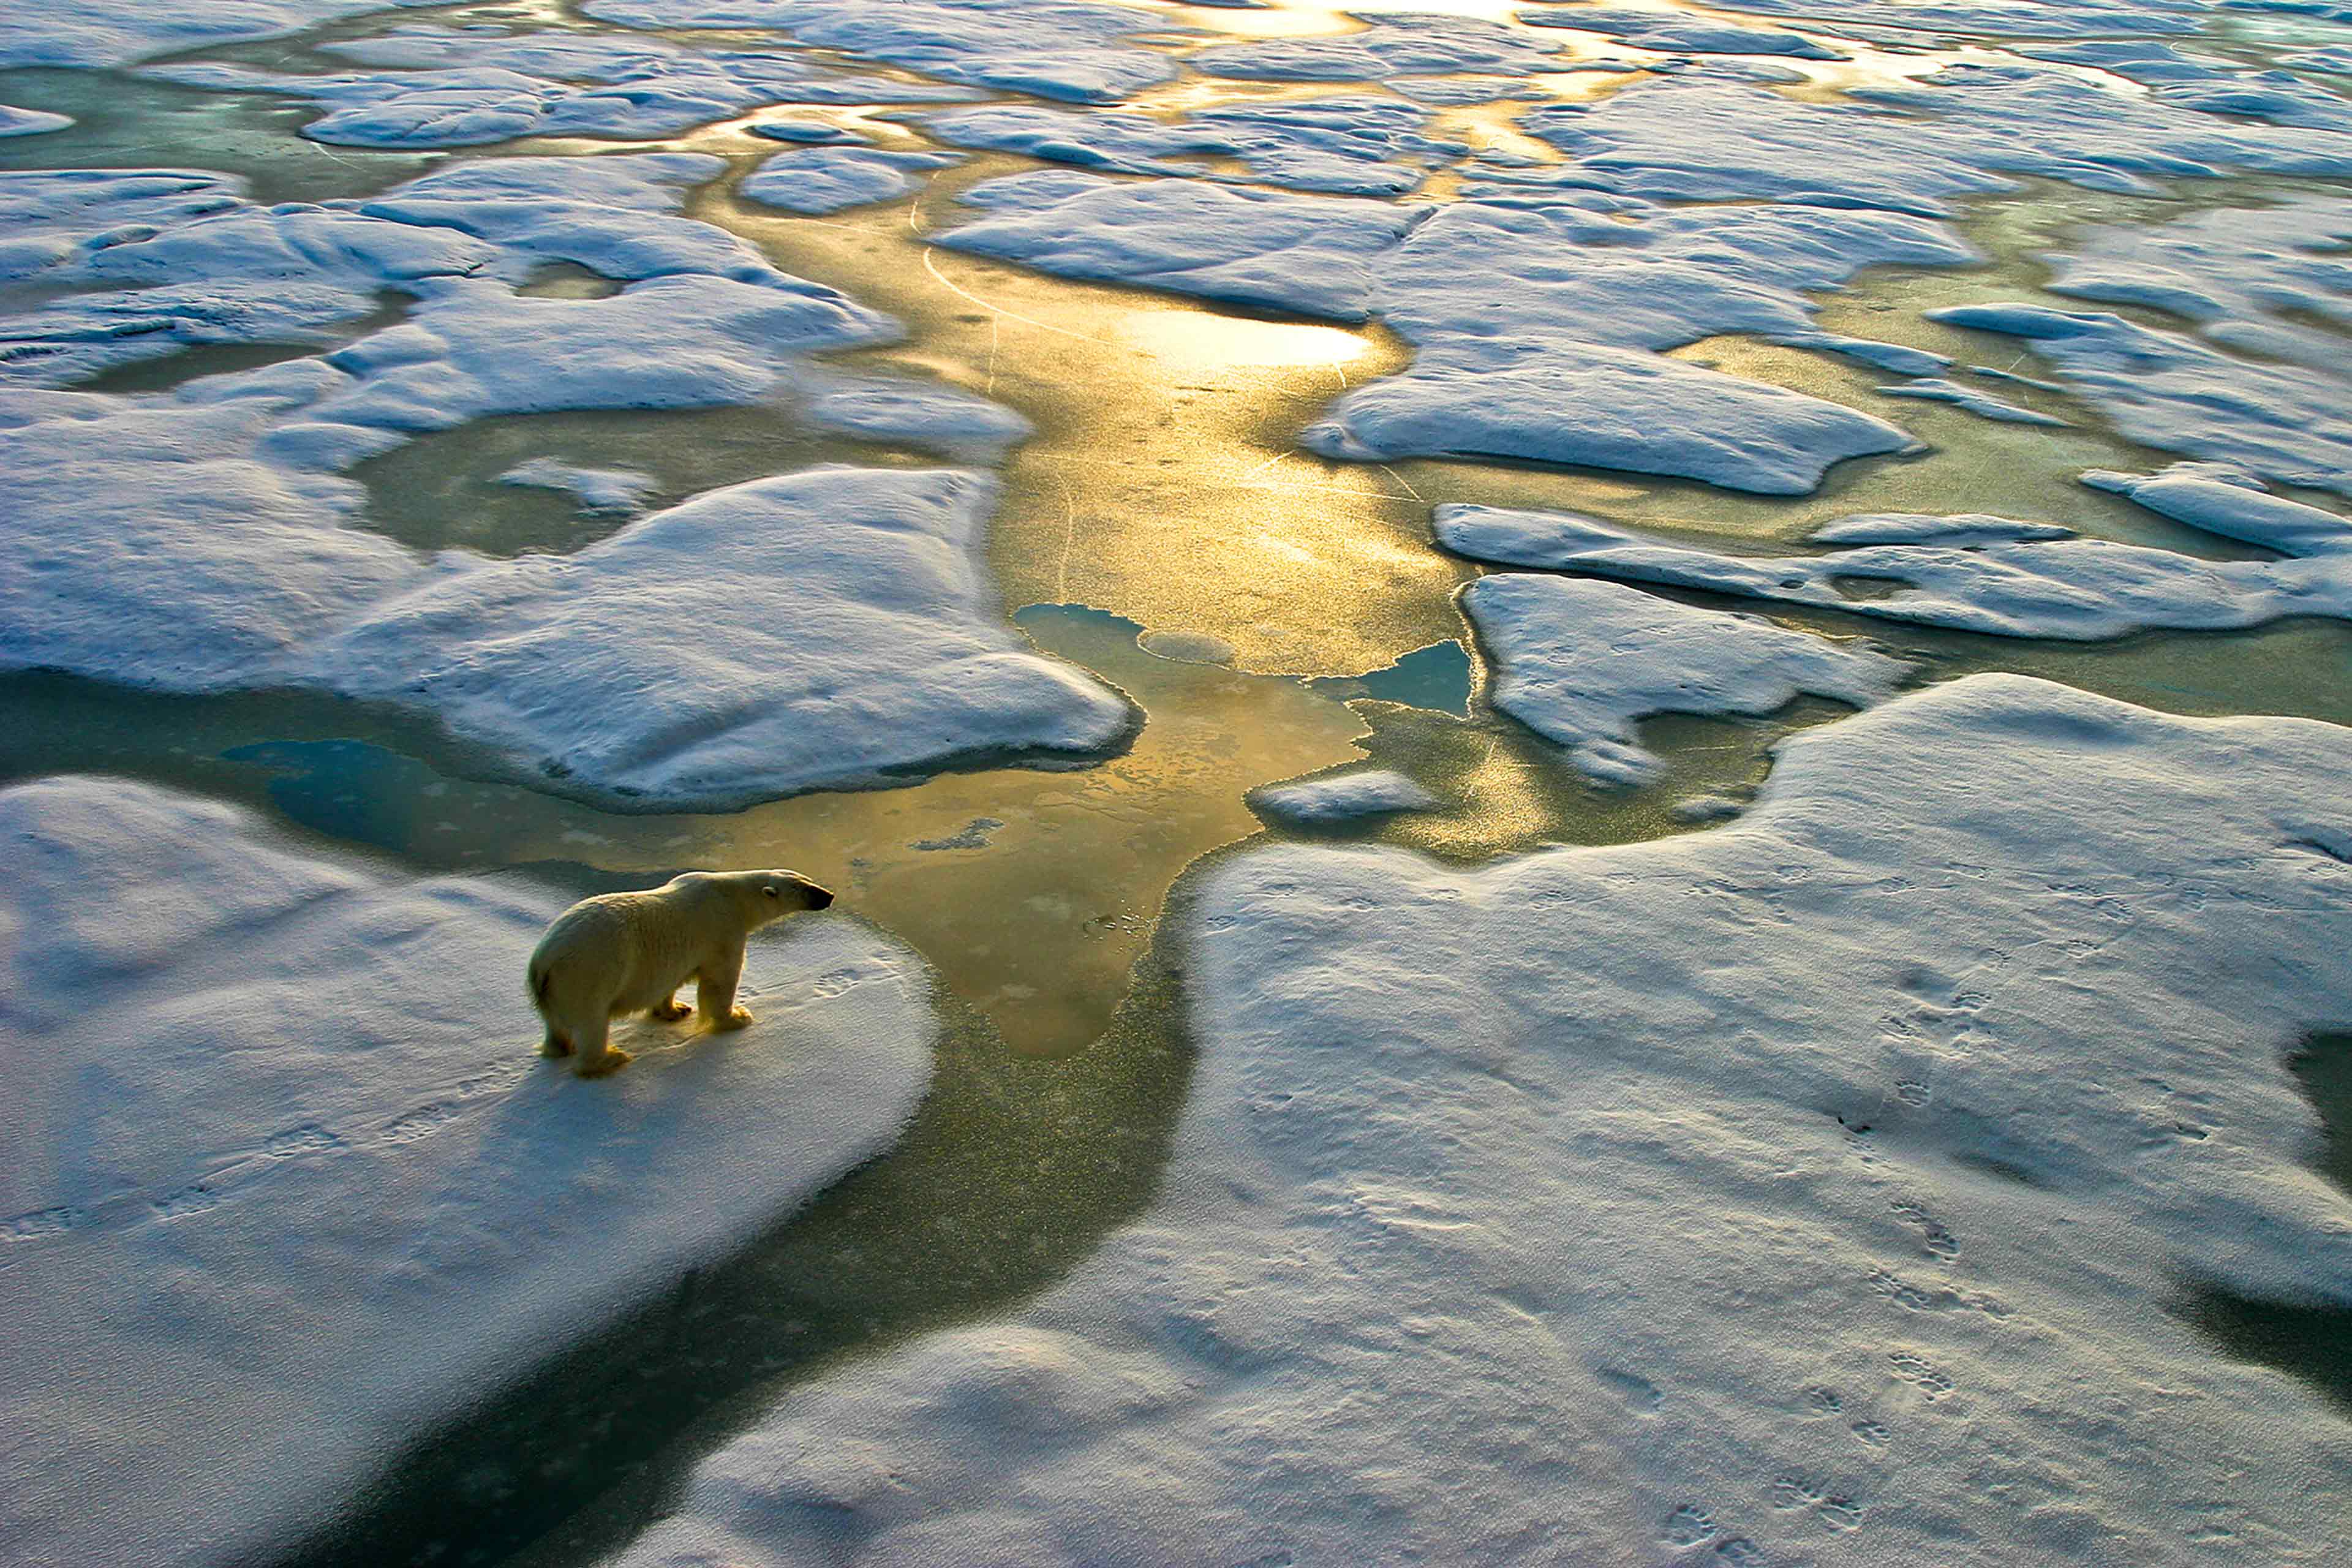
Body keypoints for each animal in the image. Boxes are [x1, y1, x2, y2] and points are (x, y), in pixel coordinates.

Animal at [529, 870, 832, 1081]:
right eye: (803, 888)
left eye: (808, 879)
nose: (829, 895)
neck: (732, 896)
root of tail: (542, 962)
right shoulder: (723, 931)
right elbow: (720, 981)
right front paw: (737, 1017)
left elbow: (671, 981)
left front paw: (675, 1010)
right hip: (588, 973)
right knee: (592, 1022)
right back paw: (610, 1059)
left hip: (553, 991)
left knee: (555, 1025)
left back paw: (561, 1048)